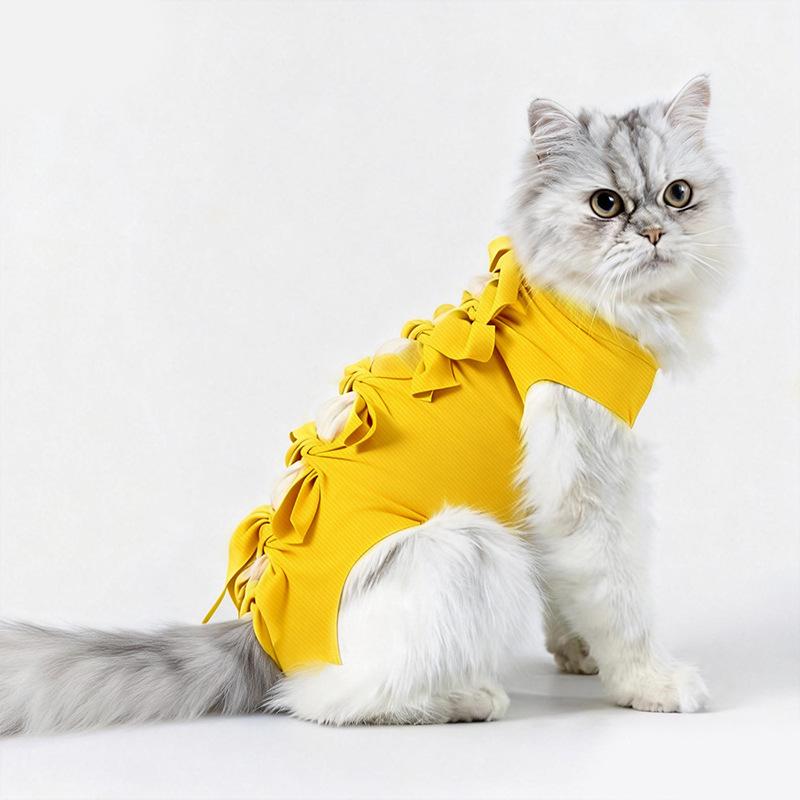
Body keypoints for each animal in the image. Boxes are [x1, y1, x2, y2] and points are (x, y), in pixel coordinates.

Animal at [0, 75, 731, 733]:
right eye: (606, 203)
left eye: (679, 195)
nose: (655, 233)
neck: (578, 305)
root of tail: (259, 636)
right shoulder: (589, 486)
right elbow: (618, 599)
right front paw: (648, 685)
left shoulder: (546, 501)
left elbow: (569, 591)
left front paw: (577, 656)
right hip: (468, 547)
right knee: (322, 701)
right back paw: (465, 700)